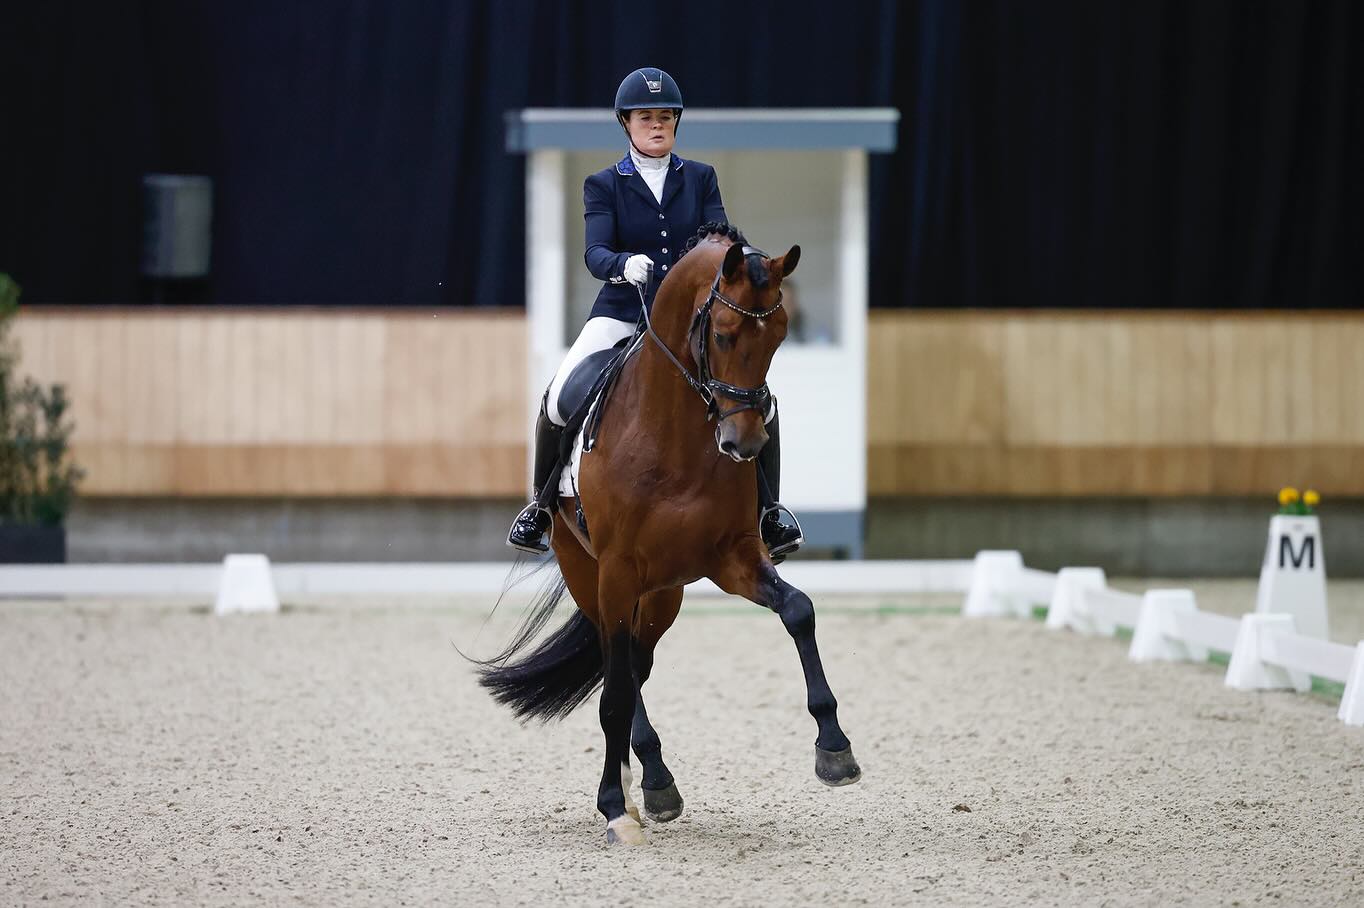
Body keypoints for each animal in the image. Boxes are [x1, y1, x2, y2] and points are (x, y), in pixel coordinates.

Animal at [480, 222, 856, 845]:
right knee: (619, 669)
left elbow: (798, 610)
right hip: (590, 573)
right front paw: (612, 807)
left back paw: (655, 783)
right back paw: (637, 791)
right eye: (723, 334)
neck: (674, 433)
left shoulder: (733, 558)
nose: (744, 444)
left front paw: (834, 749)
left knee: (636, 663)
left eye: (780, 335)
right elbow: (611, 693)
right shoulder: (615, 573)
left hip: (663, 594)